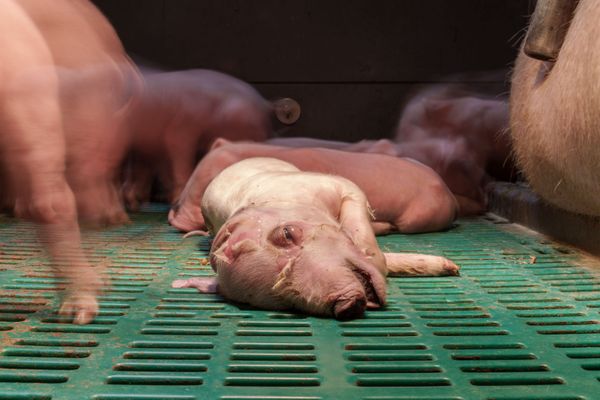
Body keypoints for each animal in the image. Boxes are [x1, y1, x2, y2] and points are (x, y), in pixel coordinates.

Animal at [173, 157, 460, 318]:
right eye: (286, 302)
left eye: (287, 233)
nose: (348, 304)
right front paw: (451, 268)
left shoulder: (340, 186)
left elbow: (365, 238)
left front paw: (453, 269)